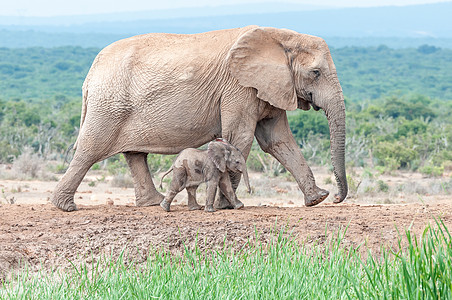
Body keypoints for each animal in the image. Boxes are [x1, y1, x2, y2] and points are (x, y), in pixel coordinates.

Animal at [53, 27, 350, 212]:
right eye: (316, 73)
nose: (337, 198)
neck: (281, 36)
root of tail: (90, 73)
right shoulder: (238, 87)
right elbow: (241, 139)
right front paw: (227, 207)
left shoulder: (270, 87)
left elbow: (277, 141)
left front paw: (316, 200)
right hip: (109, 104)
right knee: (91, 150)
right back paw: (65, 207)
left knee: (134, 154)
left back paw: (153, 203)